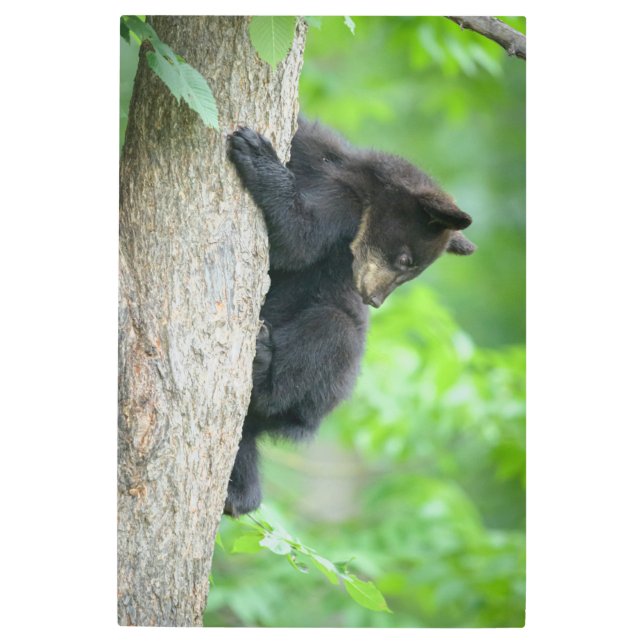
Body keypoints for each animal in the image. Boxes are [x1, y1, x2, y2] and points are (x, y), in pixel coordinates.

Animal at [225, 117, 475, 516]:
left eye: (410, 270)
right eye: (405, 260)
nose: (373, 300)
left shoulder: (343, 211)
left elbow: (298, 240)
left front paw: (256, 154)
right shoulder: (317, 153)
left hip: (329, 379)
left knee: (329, 336)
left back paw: (262, 368)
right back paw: (238, 493)